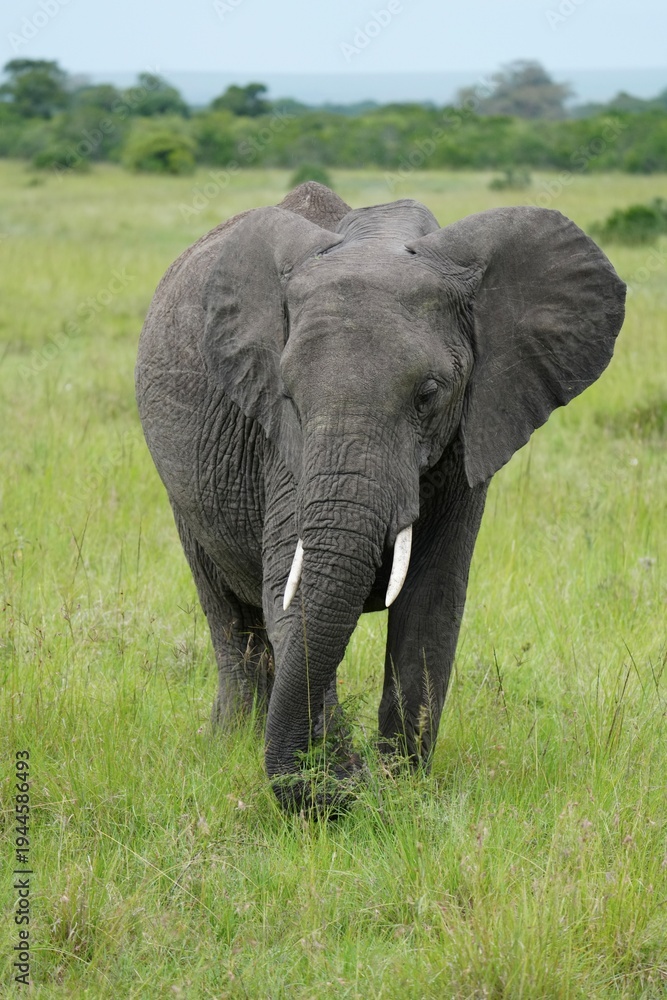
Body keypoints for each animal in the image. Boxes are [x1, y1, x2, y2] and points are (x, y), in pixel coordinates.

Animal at [136, 181, 625, 811]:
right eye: (289, 395)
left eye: (429, 394)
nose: (354, 777)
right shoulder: (281, 445)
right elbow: (287, 589)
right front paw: (346, 783)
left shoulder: (473, 430)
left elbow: (432, 600)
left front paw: (401, 787)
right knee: (226, 610)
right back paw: (232, 742)